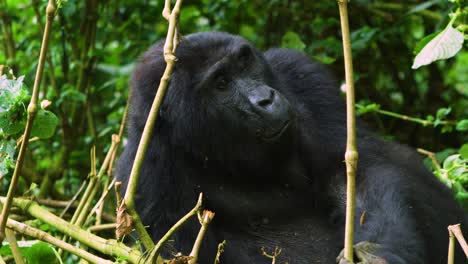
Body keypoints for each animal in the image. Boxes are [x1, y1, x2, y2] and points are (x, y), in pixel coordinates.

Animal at [115, 32, 466, 262]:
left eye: (245, 63)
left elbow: (357, 174)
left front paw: (378, 254)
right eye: (221, 84)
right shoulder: (144, 172)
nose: (265, 99)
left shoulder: (300, 74)